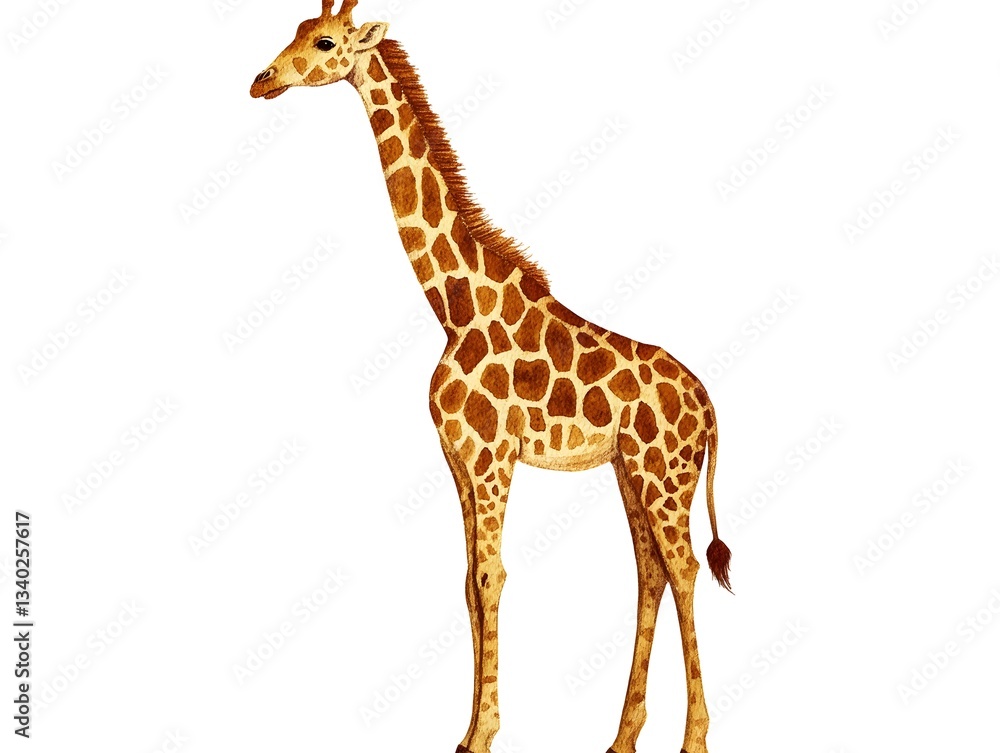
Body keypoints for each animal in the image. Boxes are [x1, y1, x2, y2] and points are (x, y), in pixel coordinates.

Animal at [250, 3, 732, 752]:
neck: (454, 306)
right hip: (631, 470)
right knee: (650, 572)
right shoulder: (459, 457)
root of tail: (708, 402)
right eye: (295, 31)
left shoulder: (491, 455)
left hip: (666, 474)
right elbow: (468, 580)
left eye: (324, 42)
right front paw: (465, 731)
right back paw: (621, 737)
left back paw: (695, 738)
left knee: (683, 570)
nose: (262, 80)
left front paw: (483, 733)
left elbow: (489, 575)